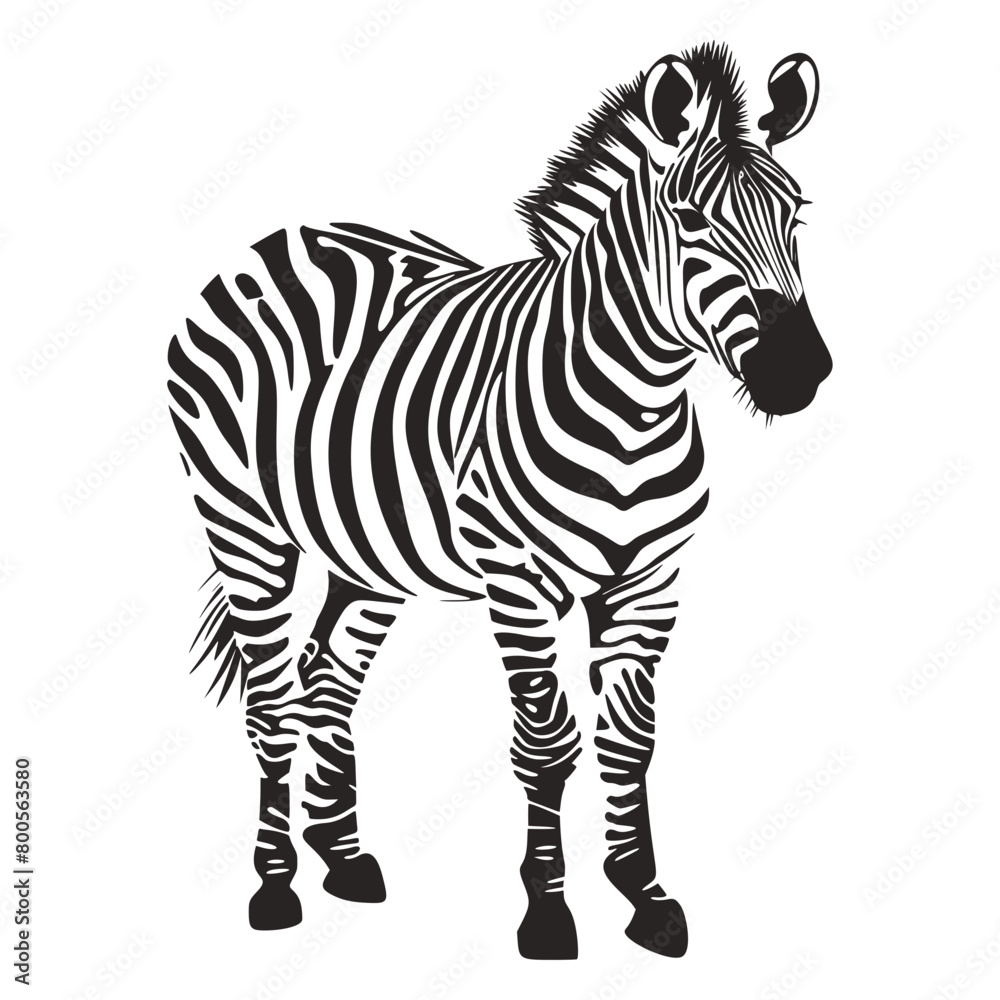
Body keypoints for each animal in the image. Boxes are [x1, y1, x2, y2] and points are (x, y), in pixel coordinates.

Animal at [167, 42, 831, 960]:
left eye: (796, 217)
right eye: (692, 220)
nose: (801, 371)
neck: (634, 404)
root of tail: (276, 240)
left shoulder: (649, 583)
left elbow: (629, 741)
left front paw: (645, 896)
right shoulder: (518, 583)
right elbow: (546, 745)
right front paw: (548, 912)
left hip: (367, 558)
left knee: (326, 676)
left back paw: (343, 857)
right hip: (244, 526)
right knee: (271, 697)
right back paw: (275, 887)